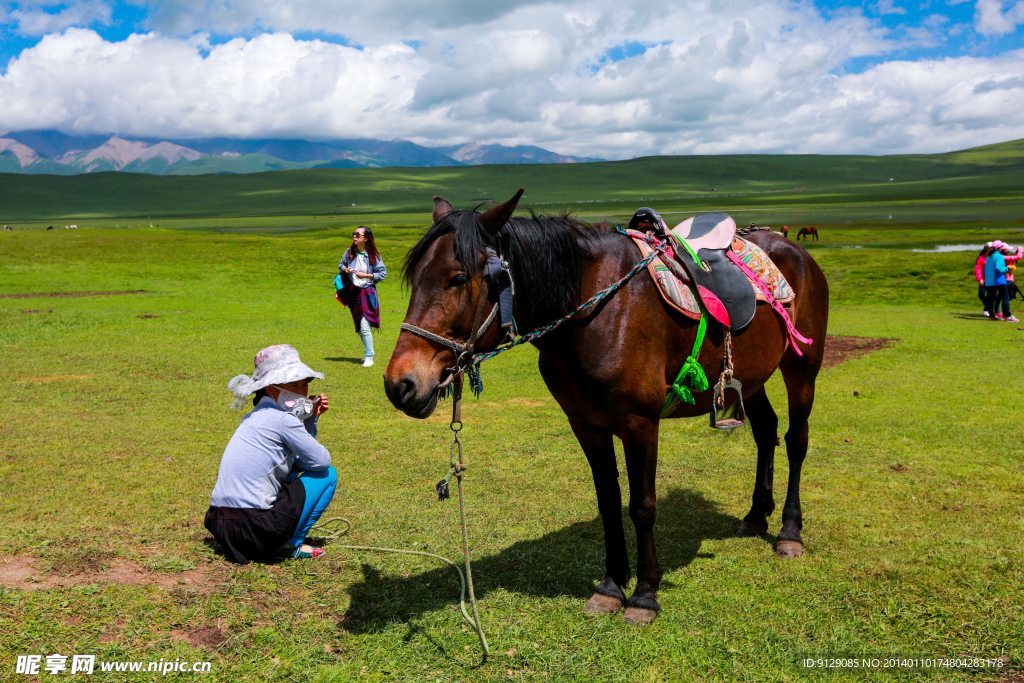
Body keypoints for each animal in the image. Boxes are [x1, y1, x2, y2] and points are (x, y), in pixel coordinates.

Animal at [385, 191, 831, 626]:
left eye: (458, 278)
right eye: (414, 278)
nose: (399, 384)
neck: (592, 313)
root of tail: (793, 248)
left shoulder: (640, 423)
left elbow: (642, 506)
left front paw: (645, 594)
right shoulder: (586, 424)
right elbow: (608, 502)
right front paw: (612, 586)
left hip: (802, 368)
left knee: (796, 439)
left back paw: (789, 532)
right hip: (752, 377)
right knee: (766, 431)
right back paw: (756, 514)